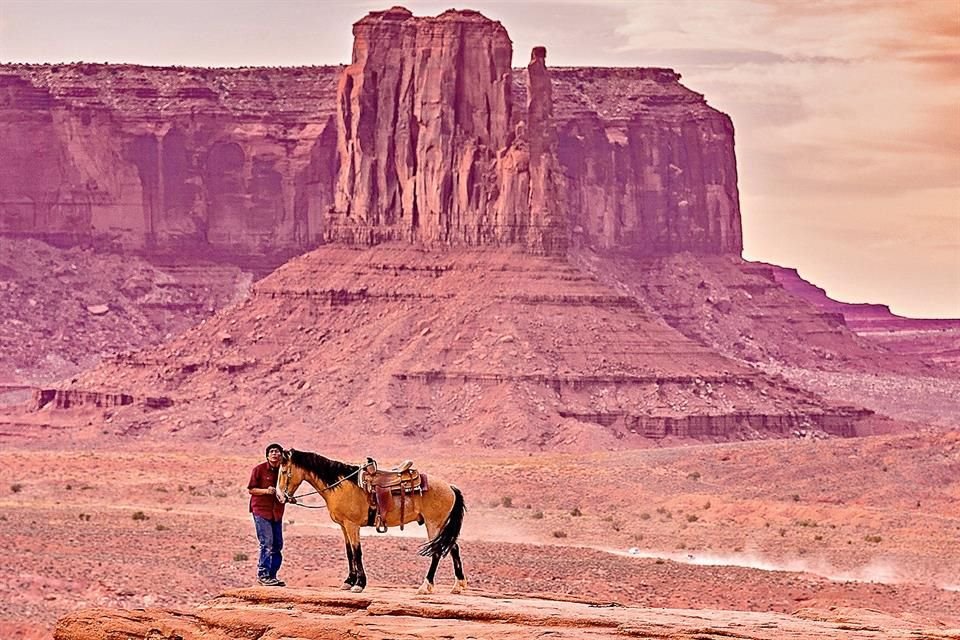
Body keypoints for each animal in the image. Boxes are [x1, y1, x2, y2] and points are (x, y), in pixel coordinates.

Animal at [276, 450, 466, 596]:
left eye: (284, 471)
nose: (279, 496)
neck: (341, 485)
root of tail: (450, 487)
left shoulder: (352, 525)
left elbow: (357, 552)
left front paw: (359, 584)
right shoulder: (343, 526)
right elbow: (349, 553)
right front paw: (348, 582)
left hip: (433, 523)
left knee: (437, 552)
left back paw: (425, 586)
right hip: (440, 525)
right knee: (453, 548)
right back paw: (459, 586)